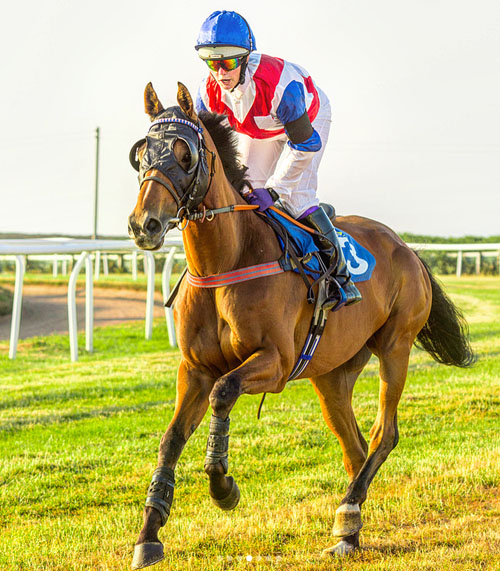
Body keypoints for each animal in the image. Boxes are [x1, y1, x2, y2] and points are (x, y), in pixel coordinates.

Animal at [127, 82, 474, 568]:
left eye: (184, 153)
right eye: (141, 154)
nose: (145, 224)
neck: (228, 258)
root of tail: (407, 249)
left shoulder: (274, 362)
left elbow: (223, 392)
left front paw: (223, 487)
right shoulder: (194, 368)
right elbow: (171, 437)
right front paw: (149, 534)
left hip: (396, 346)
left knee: (383, 434)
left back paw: (347, 513)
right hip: (332, 375)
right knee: (354, 446)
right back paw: (350, 531)